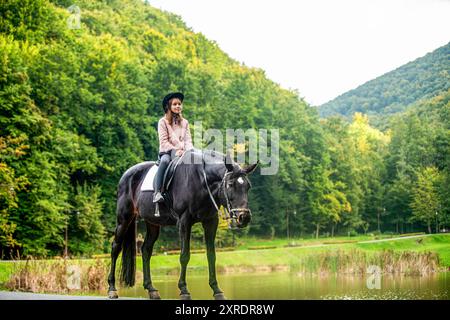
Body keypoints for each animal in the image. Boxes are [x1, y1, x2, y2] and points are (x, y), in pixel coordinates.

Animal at [107, 149, 258, 298]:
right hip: (124, 219)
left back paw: (151, 289)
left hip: (152, 223)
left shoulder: (210, 222)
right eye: (230, 185)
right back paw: (112, 288)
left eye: (248, 186)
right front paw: (184, 289)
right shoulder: (185, 222)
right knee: (115, 247)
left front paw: (217, 290)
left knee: (146, 250)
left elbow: (211, 256)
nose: (244, 217)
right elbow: (184, 255)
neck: (202, 180)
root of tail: (127, 174)